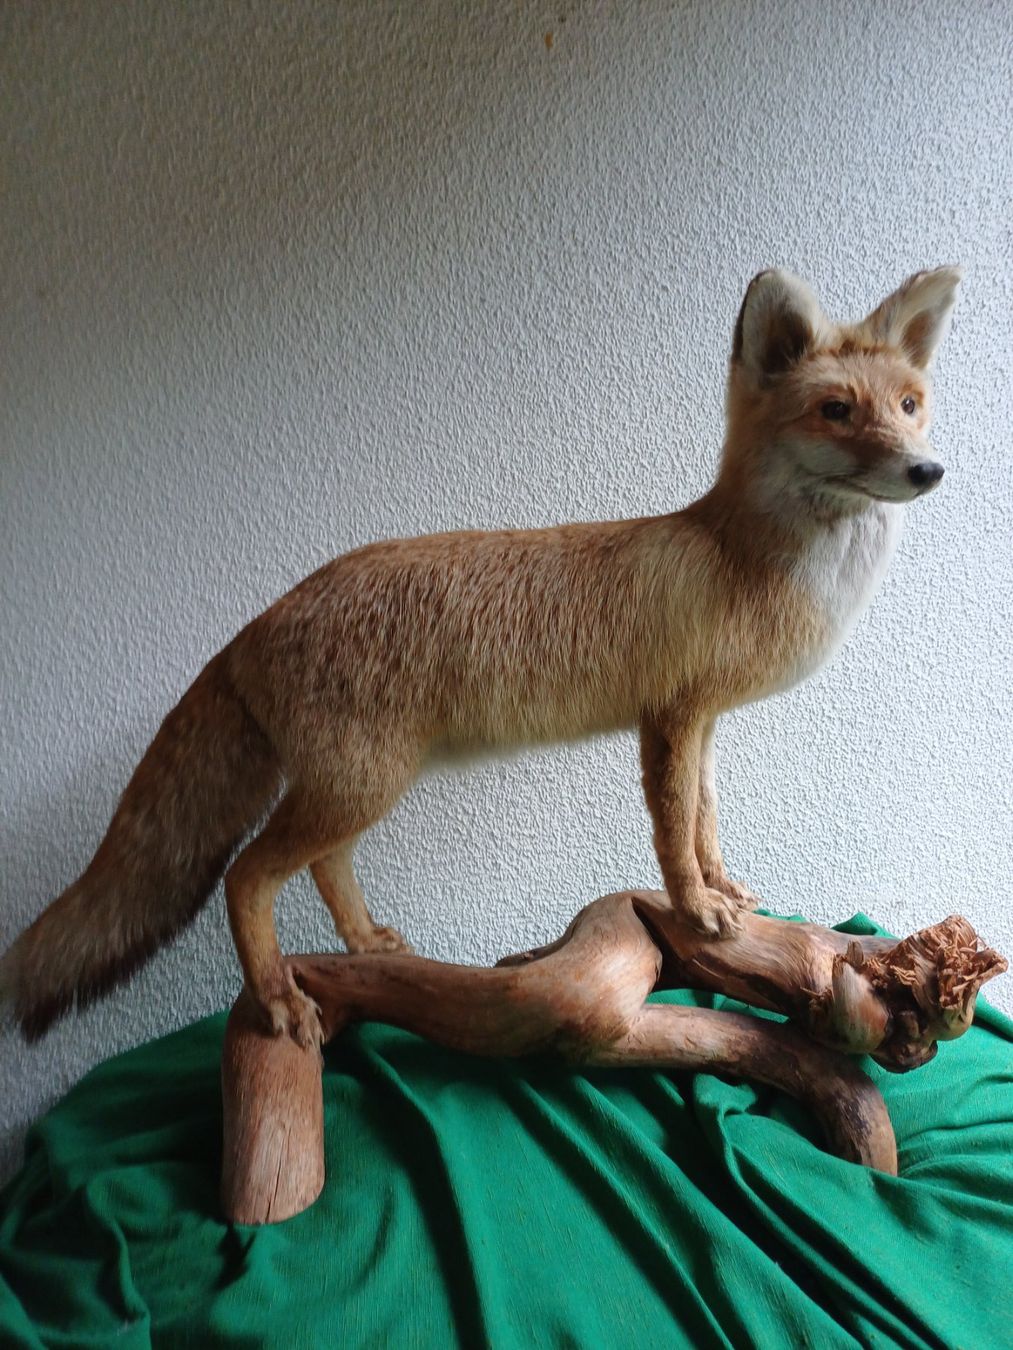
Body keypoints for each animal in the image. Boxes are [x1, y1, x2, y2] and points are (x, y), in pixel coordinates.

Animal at [1, 265, 961, 1050]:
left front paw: (725, 893)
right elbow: (670, 838)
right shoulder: (670, 719)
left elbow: (705, 823)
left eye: (909, 404)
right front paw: (696, 910)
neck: (743, 557)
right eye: (836, 410)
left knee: (322, 865)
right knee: (247, 875)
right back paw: (275, 997)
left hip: (360, 786)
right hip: (357, 784)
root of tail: (258, 621)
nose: (928, 470)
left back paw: (365, 944)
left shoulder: (702, 724)